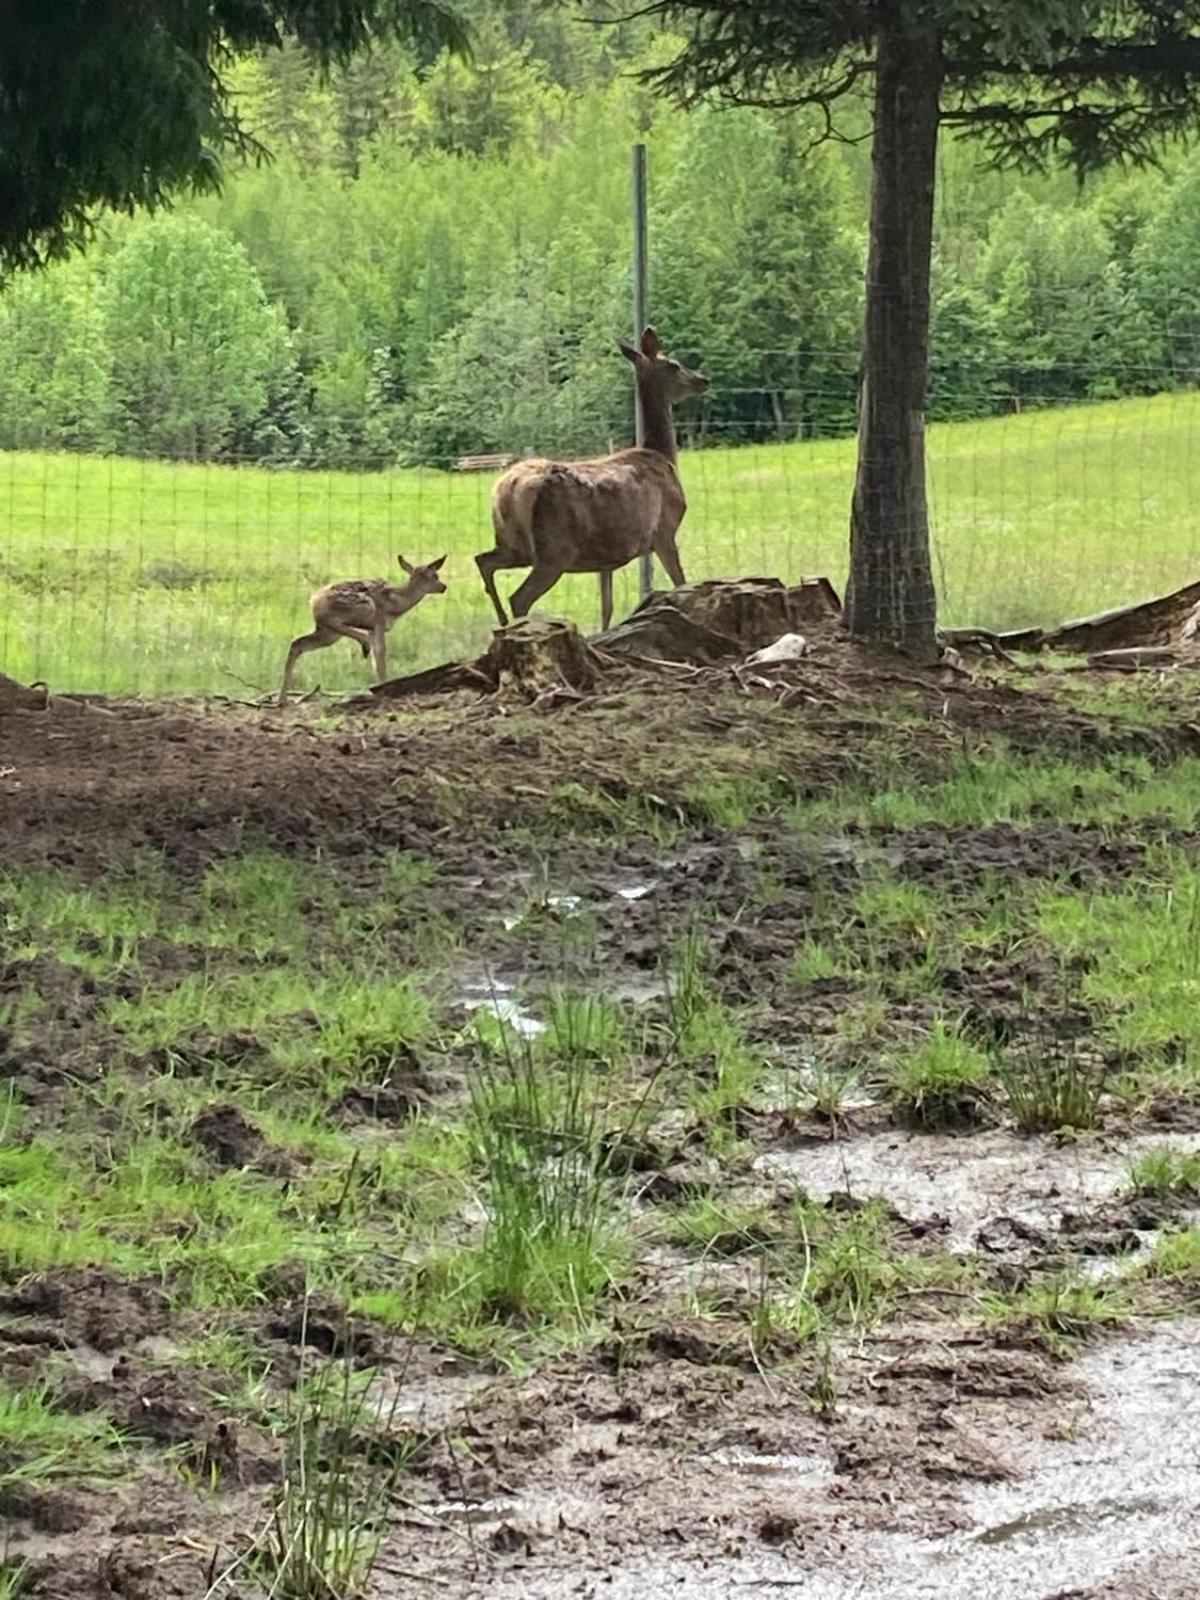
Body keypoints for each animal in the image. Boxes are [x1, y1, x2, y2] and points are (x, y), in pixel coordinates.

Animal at [278, 560, 448, 704]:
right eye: (435, 576)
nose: (444, 586)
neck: (396, 604)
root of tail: (313, 600)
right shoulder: (378, 623)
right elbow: (381, 654)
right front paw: (384, 685)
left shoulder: (373, 628)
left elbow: (377, 659)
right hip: (361, 606)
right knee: (335, 626)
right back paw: (364, 643)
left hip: (328, 633)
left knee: (298, 643)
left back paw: (282, 698)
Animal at [476, 328, 710, 633]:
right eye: (673, 364)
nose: (703, 380)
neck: (662, 455)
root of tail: (507, 489)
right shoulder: (664, 529)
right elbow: (681, 582)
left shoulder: (606, 556)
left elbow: (607, 607)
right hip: (554, 548)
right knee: (519, 597)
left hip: (514, 544)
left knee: (484, 561)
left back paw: (503, 622)